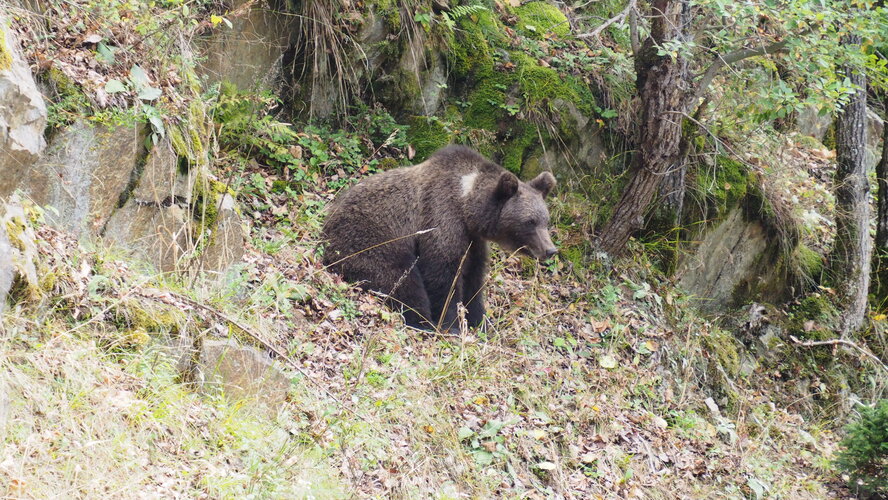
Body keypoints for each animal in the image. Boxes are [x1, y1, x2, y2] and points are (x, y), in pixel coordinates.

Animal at [320, 145, 556, 332]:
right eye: (530, 222)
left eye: (546, 220)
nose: (551, 250)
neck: (466, 205)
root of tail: (329, 218)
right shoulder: (441, 217)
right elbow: (443, 275)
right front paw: (452, 325)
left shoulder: (473, 241)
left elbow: (473, 279)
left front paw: (482, 322)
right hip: (369, 239)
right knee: (399, 278)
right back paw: (423, 322)